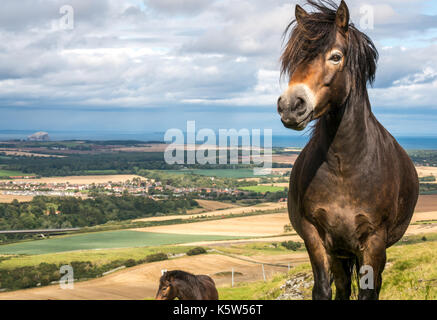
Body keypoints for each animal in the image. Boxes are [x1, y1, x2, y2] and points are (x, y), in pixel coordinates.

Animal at [278, 0, 418, 300]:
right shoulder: (315, 237)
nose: (290, 105)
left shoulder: (374, 242)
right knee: (342, 286)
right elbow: (322, 289)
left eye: (335, 57)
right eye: (293, 59)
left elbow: (369, 292)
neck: (345, 166)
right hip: (339, 253)